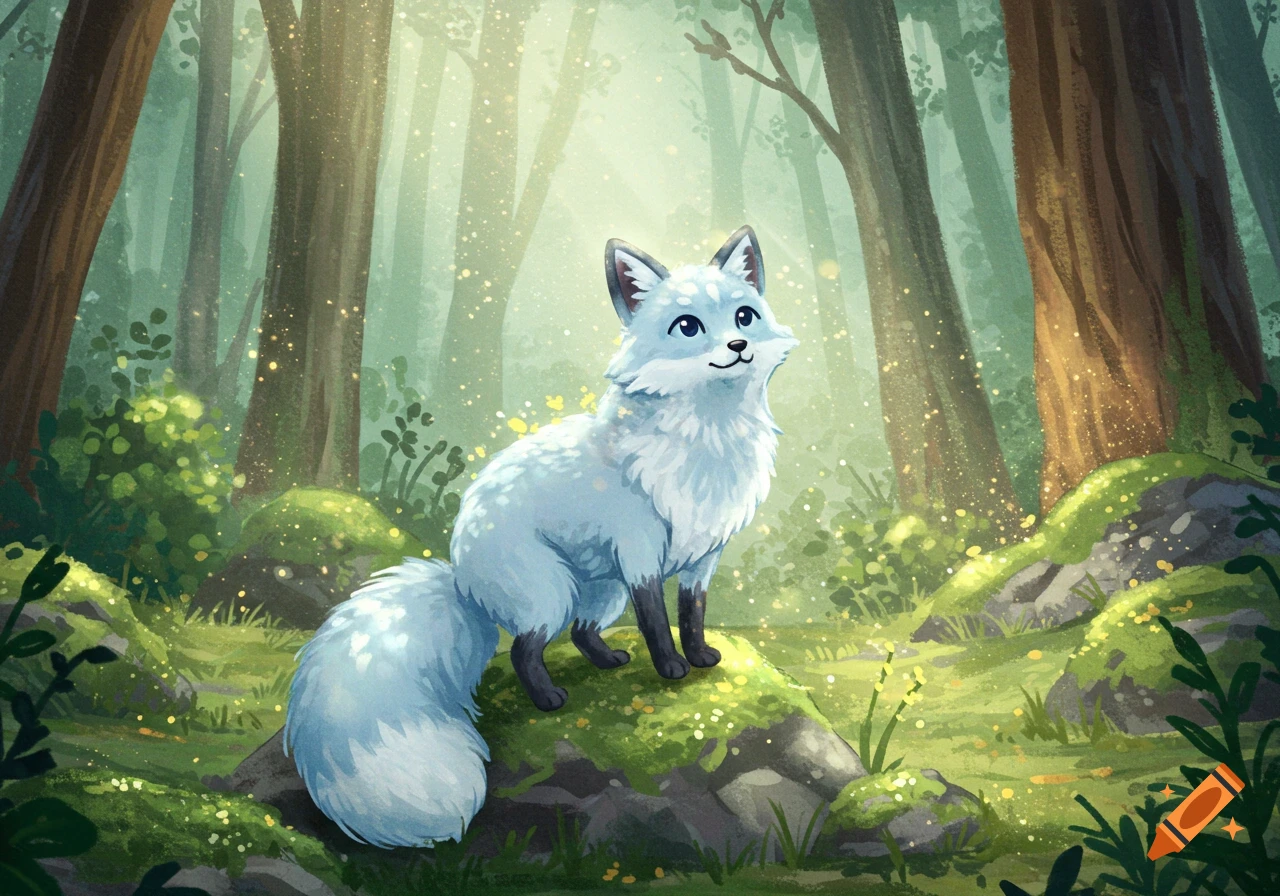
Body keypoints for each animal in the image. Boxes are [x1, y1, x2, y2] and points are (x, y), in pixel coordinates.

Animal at [283, 226, 798, 848]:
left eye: (744, 316)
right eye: (688, 326)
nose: (738, 346)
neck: (708, 440)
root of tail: (459, 575)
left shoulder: (703, 556)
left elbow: (691, 612)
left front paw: (699, 659)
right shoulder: (641, 551)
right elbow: (657, 620)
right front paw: (671, 669)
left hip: (601, 589)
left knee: (580, 632)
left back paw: (607, 661)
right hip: (552, 591)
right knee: (526, 649)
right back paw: (550, 699)